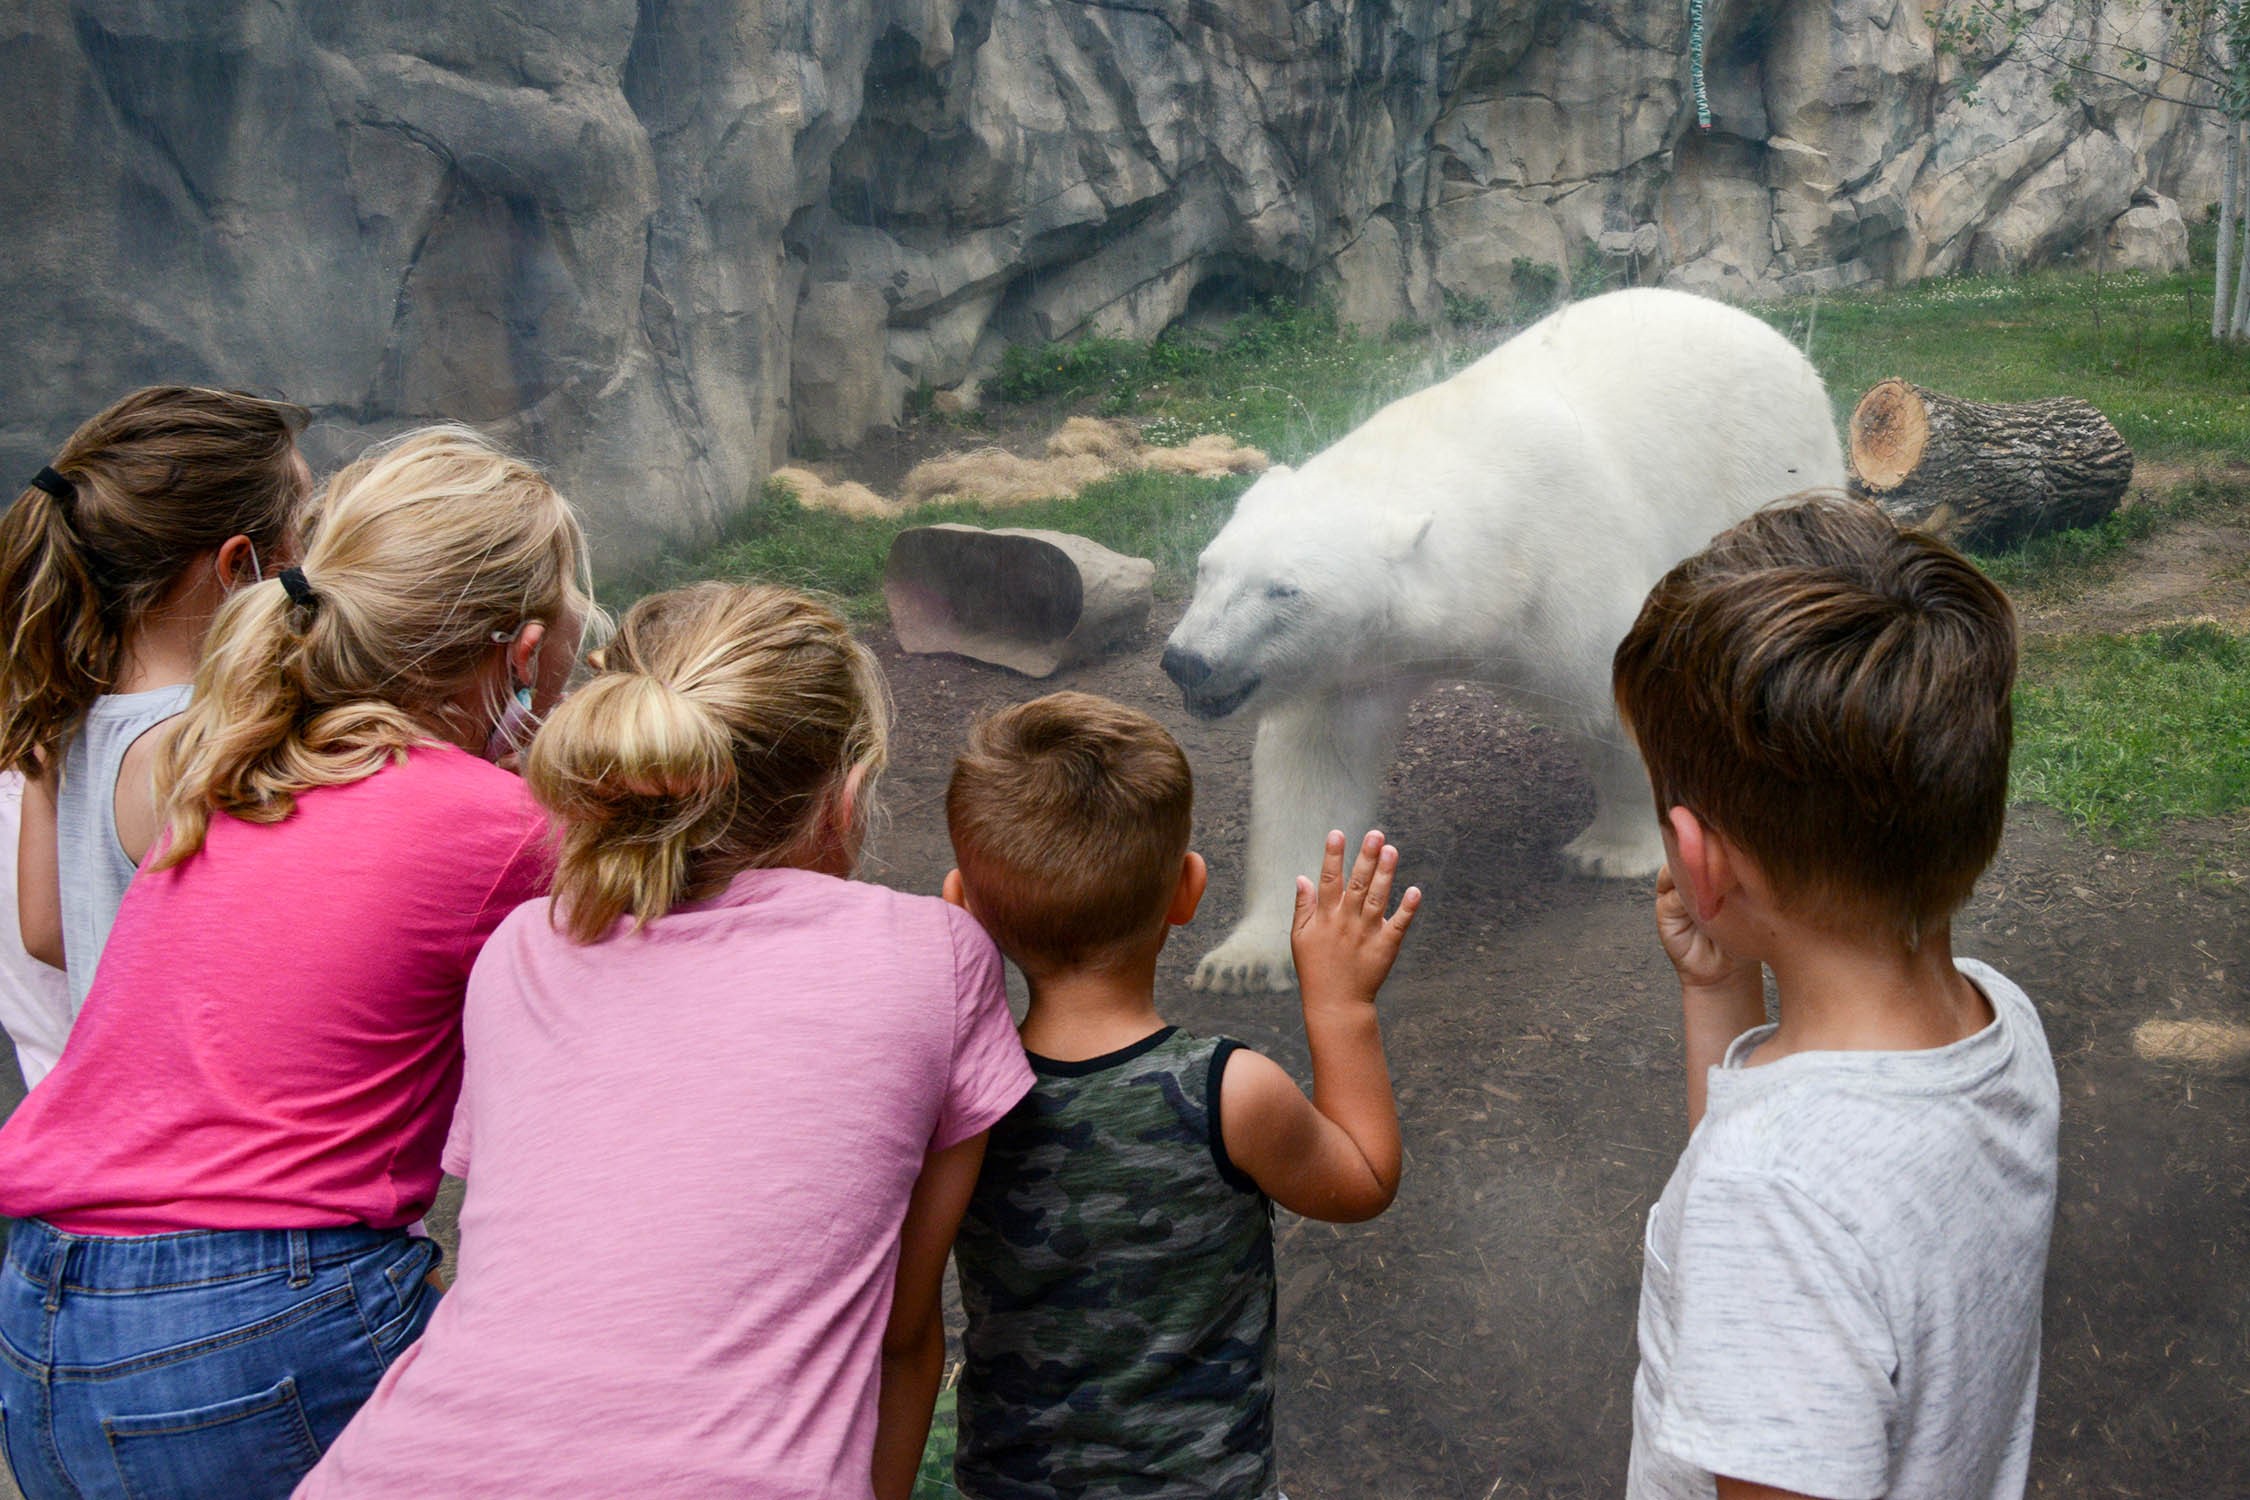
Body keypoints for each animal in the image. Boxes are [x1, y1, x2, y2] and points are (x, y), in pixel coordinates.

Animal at [1161, 285, 1845, 989]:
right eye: (1208, 567)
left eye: (1283, 591)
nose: (1188, 661)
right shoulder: (1350, 664)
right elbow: (1315, 767)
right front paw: (1245, 961)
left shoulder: (1563, 566)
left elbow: (1611, 701)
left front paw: (1612, 851)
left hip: (1762, 469)